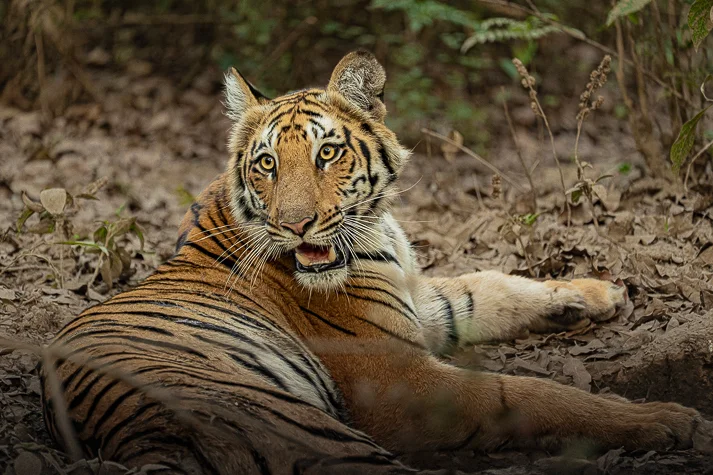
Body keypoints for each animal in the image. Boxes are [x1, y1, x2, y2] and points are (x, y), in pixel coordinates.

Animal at [41, 50, 711, 475]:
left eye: (326, 153)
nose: (295, 224)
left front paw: (598, 293)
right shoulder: (397, 380)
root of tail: (143, 440)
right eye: (266, 164)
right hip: (302, 426)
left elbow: (491, 285)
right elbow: (527, 394)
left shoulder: (422, 305)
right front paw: (664, 419)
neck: (377, 233)